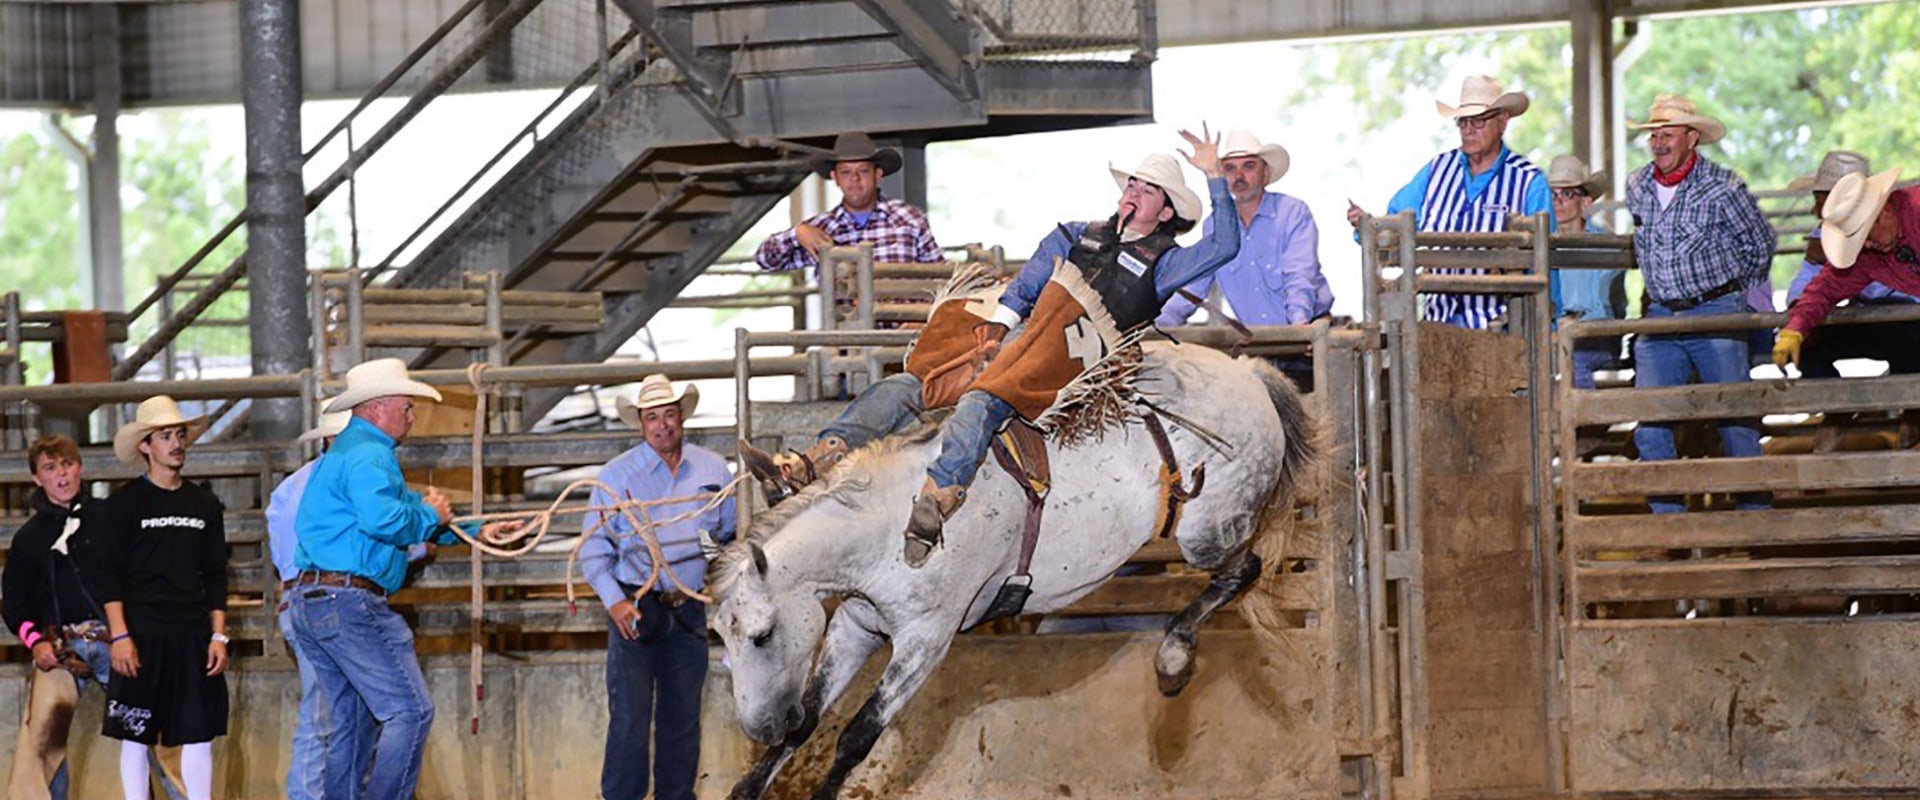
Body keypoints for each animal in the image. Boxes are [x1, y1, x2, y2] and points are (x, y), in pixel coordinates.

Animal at [706, 343, 1320, 798]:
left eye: (761, 634)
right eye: (720, 636)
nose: (759, 727)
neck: (887, 526)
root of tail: (1248, 370)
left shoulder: (926, 640)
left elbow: (857, 737)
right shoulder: (855, 624)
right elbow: (810, 717)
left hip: (1206, 532)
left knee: (1243, 569)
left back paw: (1172, 659)